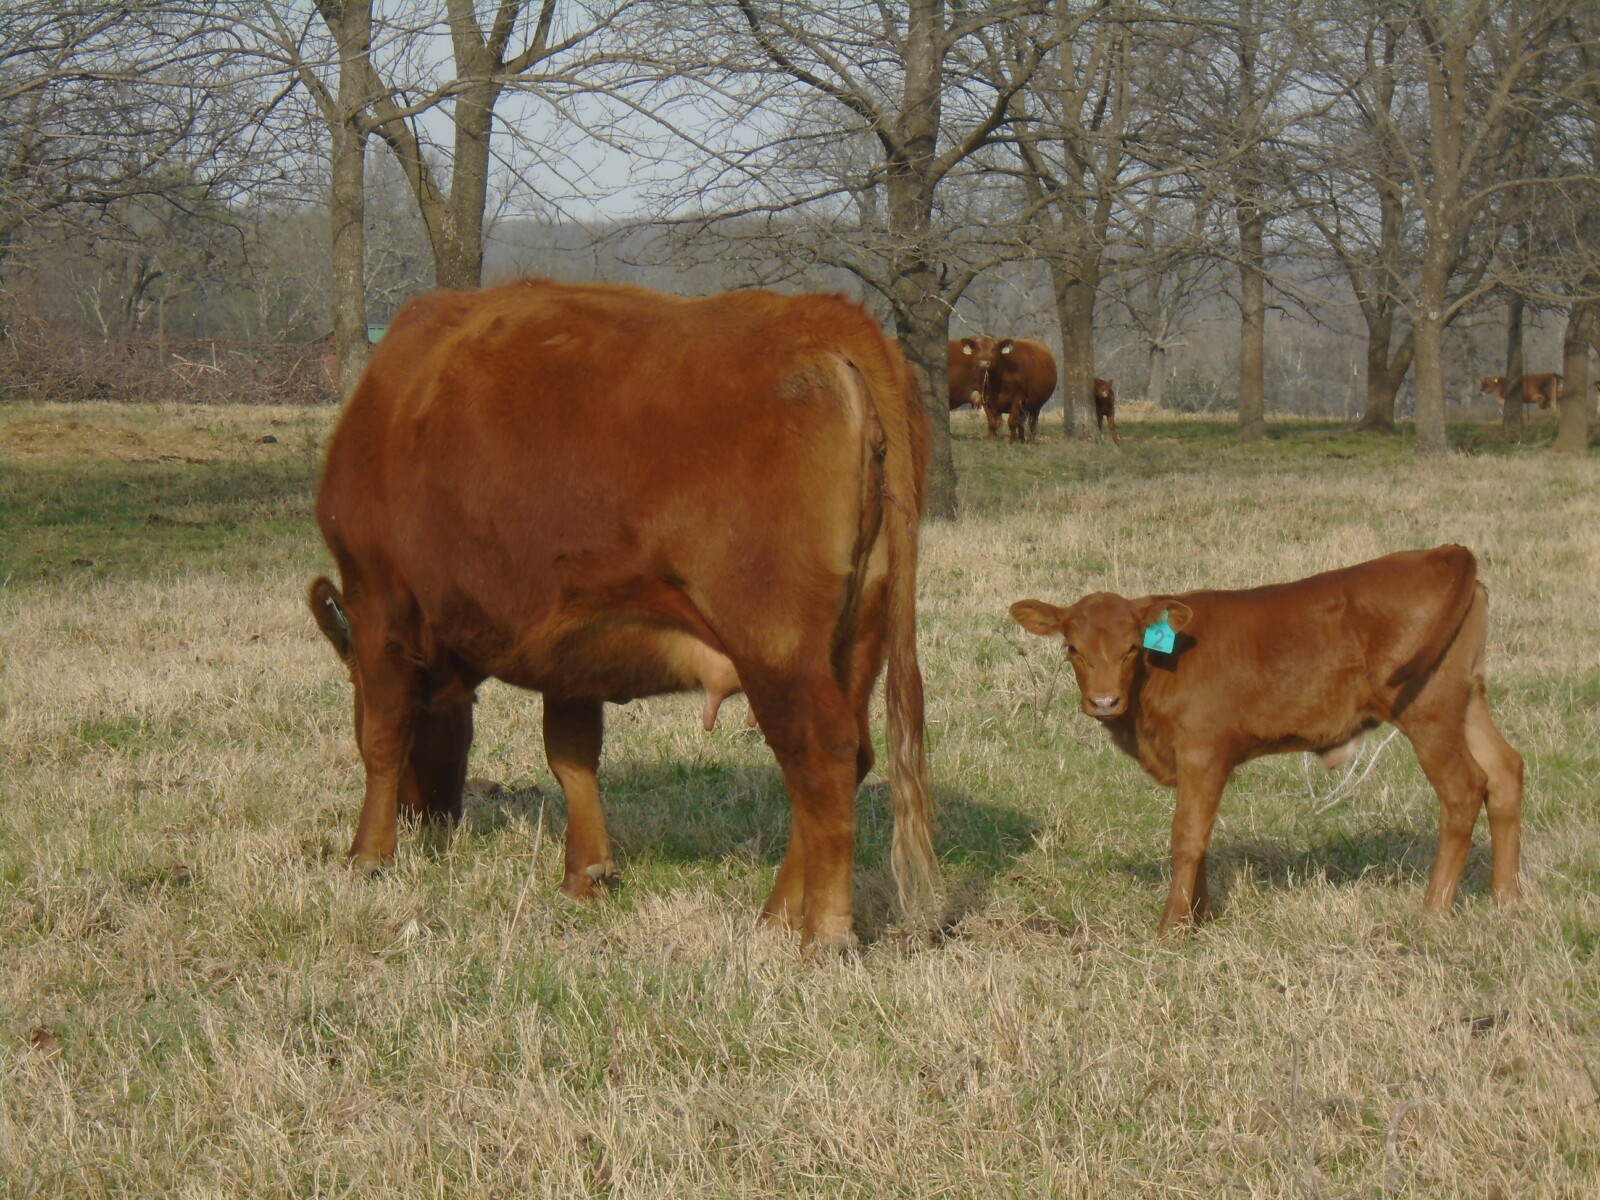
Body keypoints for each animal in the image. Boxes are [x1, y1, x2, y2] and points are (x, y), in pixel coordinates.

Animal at [308, 279, 937, 949]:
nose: (424, 816)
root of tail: (823, 314)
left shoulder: (377, 599)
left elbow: (383, 734)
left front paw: (367, 854)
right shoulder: (571, 644)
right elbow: (571, 754)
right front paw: (586, 872)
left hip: (776, 645)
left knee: (822, 756)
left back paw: (823, 929)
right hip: (857, 639)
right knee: (847, 761)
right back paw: (775, 915)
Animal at [1009, 546, 1522, 934]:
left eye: (1132, 647)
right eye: (1072, 648)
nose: (1104, 701)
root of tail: (1440, 553)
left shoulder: (1202, 752)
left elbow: (1187, 837)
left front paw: (1171, 929)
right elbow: (1202, 837)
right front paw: (1199, 917)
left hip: (1428, 710)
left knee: (1462, 788)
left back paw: (1433, 911)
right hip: (1466, 698)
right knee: (1504, 771)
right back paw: (1505, 900)